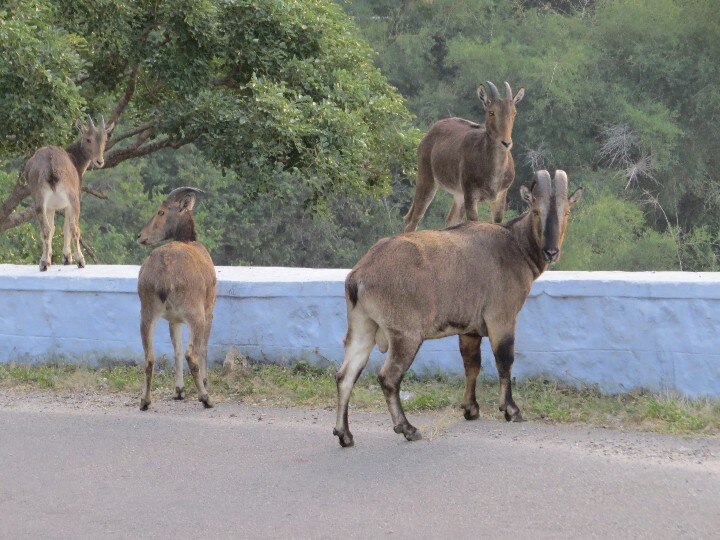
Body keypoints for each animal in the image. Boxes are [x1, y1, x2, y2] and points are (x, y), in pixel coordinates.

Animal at [23, 116, 114, 272]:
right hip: (73, 198)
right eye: (88, 139)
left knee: (45, 229)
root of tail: (51, 166)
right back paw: (80, 260)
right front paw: (67, 257)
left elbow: (52, 228)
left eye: (105, 139)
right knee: (74, 228)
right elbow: (66, 227)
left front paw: (48, 258)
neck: (75, 159)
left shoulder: (50, 206)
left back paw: (43, 263)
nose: (99, 161)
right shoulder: (67, 203)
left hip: (39, 199)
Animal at [134, 186, 214, 410]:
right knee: (192, 354)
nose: (140, 235)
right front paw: (204, 383)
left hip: (147, 312)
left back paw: (145, 401)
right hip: (195, 314)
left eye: (161, 212)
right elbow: (202, 348)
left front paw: (179, 391)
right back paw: (205, 398)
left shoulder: (173, 319)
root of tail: (164, 273)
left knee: (149, 357)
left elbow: (175, 348)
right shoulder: (208, 310)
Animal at [338, 170, 584, 448]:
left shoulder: (469, 329)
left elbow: (471, 364)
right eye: (535, 211)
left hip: (362, 326)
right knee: (388, 377)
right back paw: (408, 429)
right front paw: (511, 410)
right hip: (406, 335)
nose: (551, 251)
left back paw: (344, 434)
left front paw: (471, 408)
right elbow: (504, 360)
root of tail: (359, 275)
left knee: (345, 375)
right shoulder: (502, 318)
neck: (514, 246)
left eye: (567, 212)